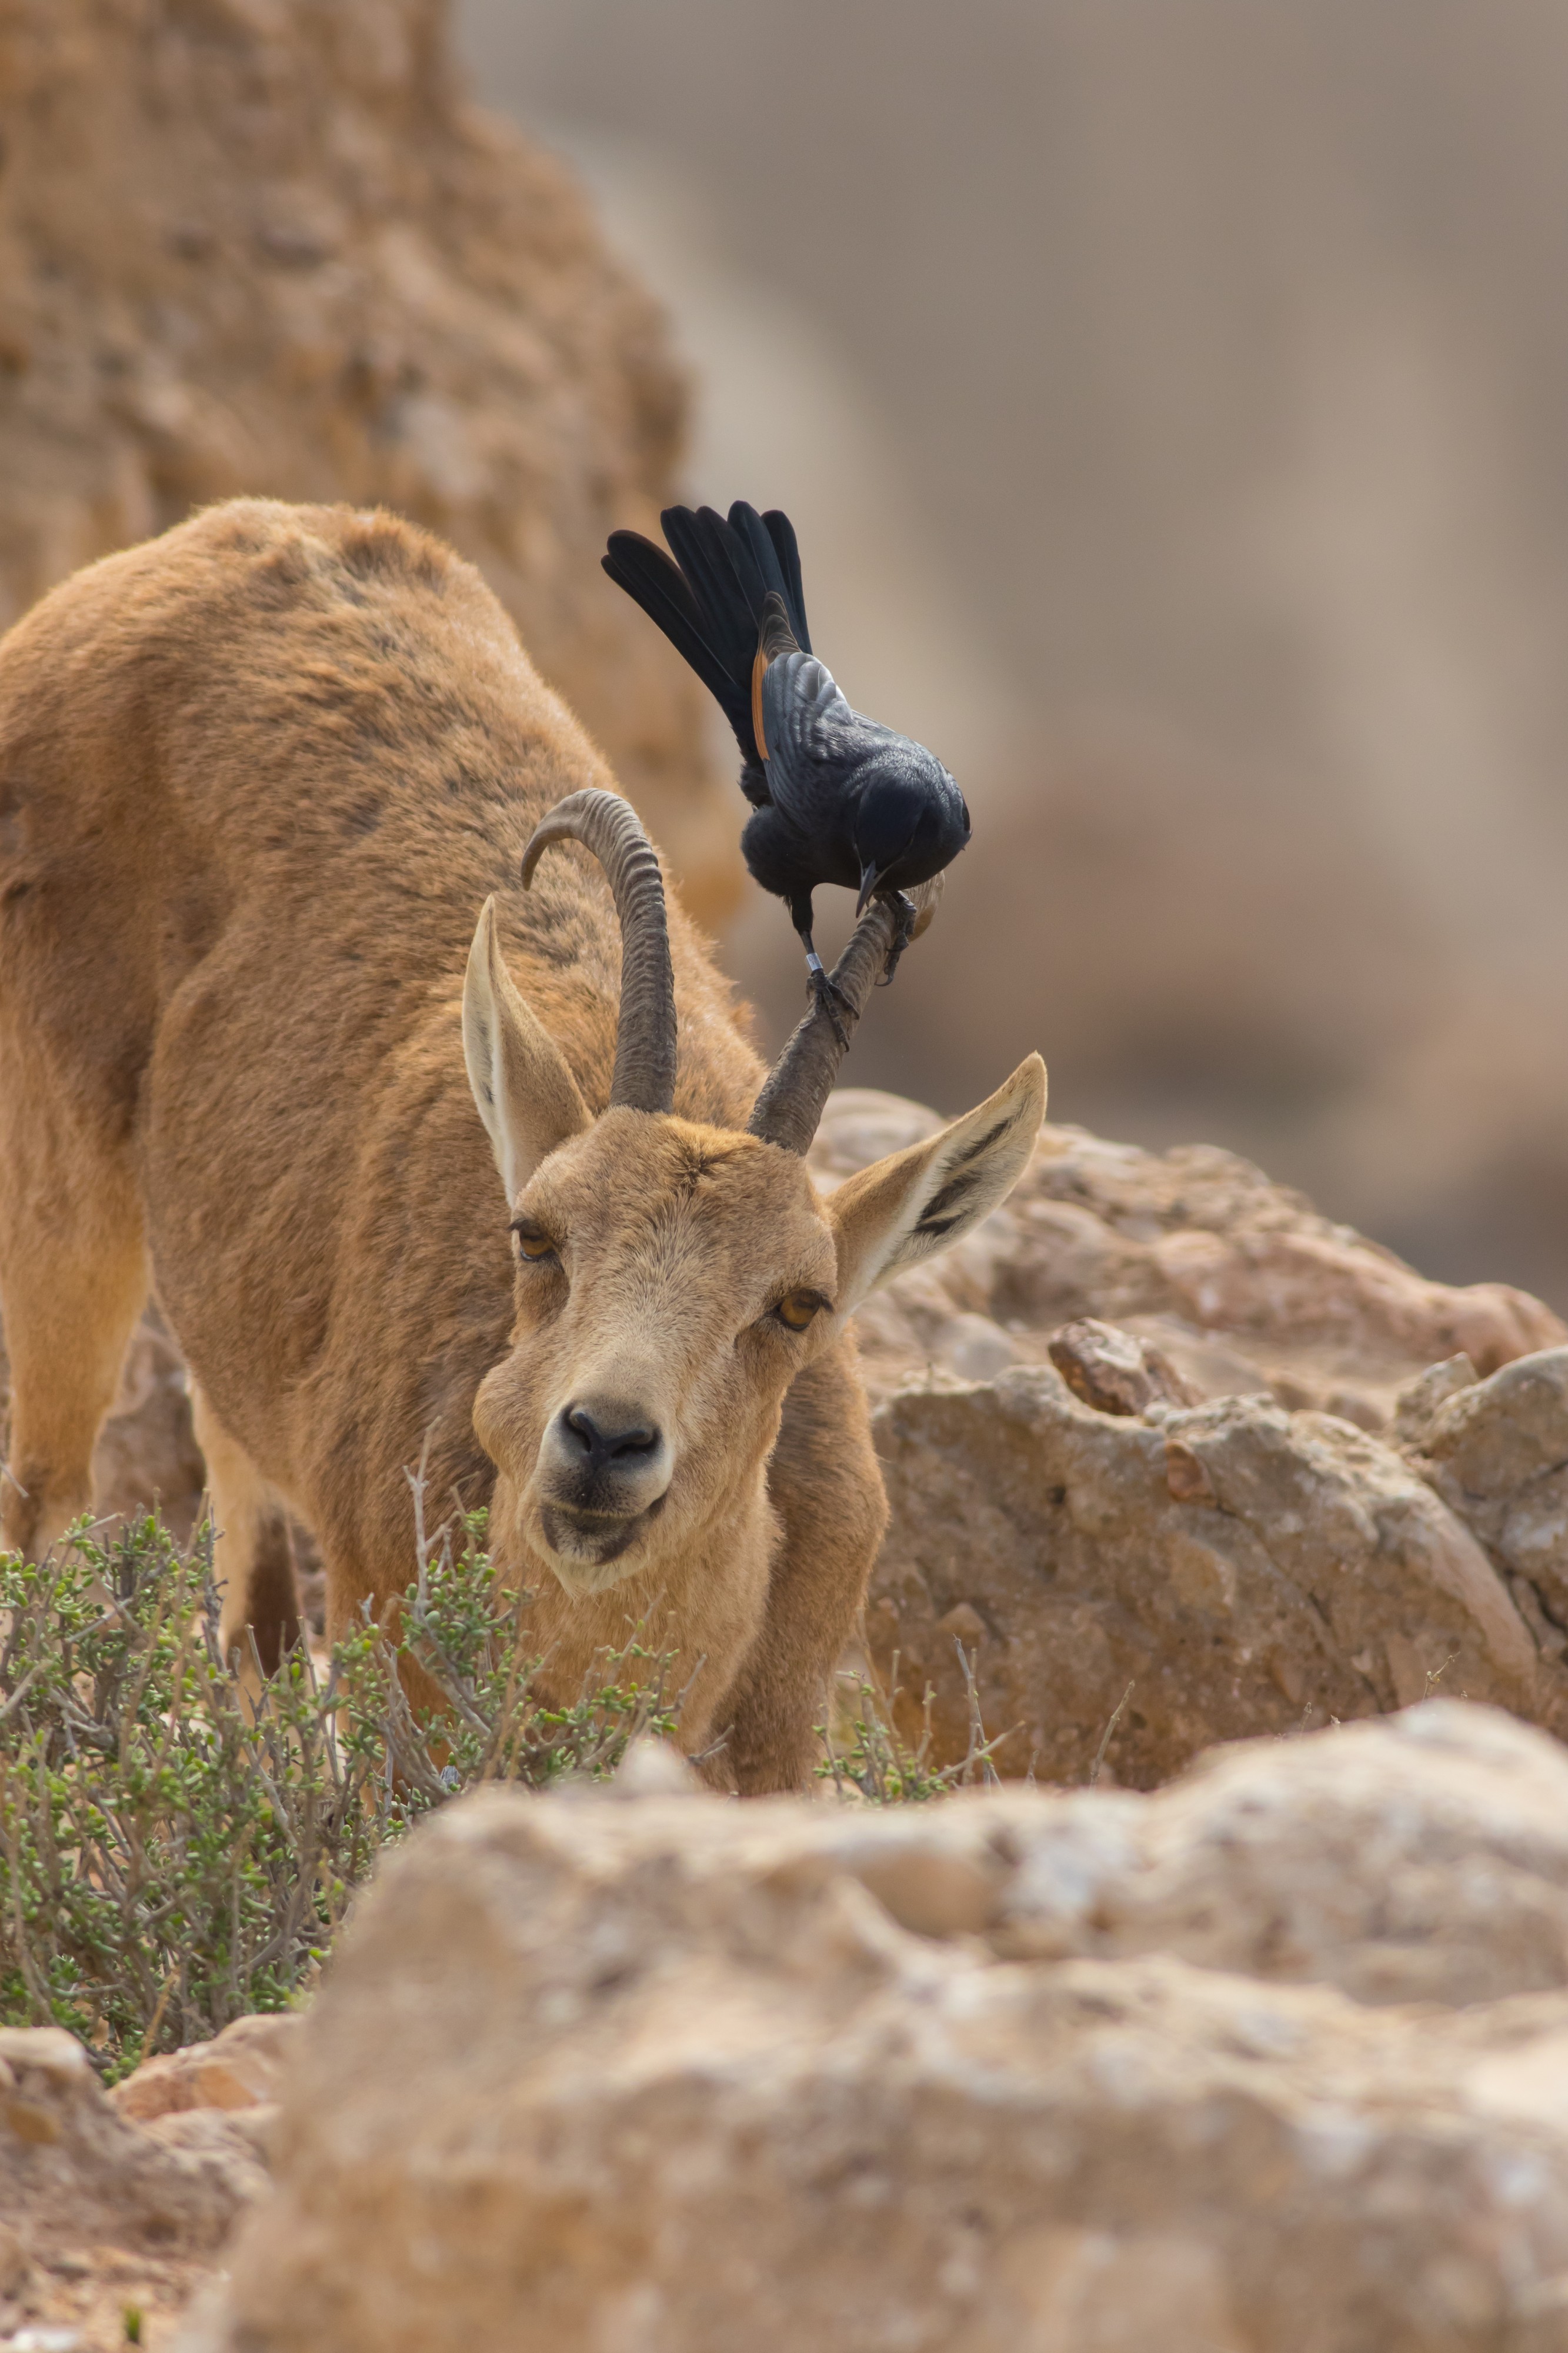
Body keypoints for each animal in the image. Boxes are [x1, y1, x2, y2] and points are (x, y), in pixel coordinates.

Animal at [0, 499, 1044, 1791]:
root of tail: (231, 528)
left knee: (245, 1565)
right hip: (64, 1179)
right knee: (45, 1491)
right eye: (536, 1236)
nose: (604, 1439)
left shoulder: (784, 1731)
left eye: (802, 1302)